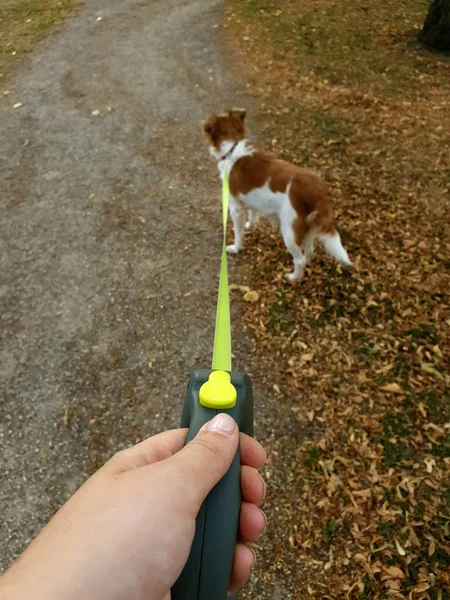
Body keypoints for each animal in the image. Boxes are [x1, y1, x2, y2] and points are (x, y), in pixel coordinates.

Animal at [203, 108, 352, 282]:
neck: (232, 147)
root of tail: (318, 188)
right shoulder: (250, 199)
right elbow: (253, 214)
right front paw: (250, 226)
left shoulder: (235, 207)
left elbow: (238, 233)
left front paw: (236, 247)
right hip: (309, 227)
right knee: (309, 250)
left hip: (289, 231)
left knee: (299, 259)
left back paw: (294, 278)